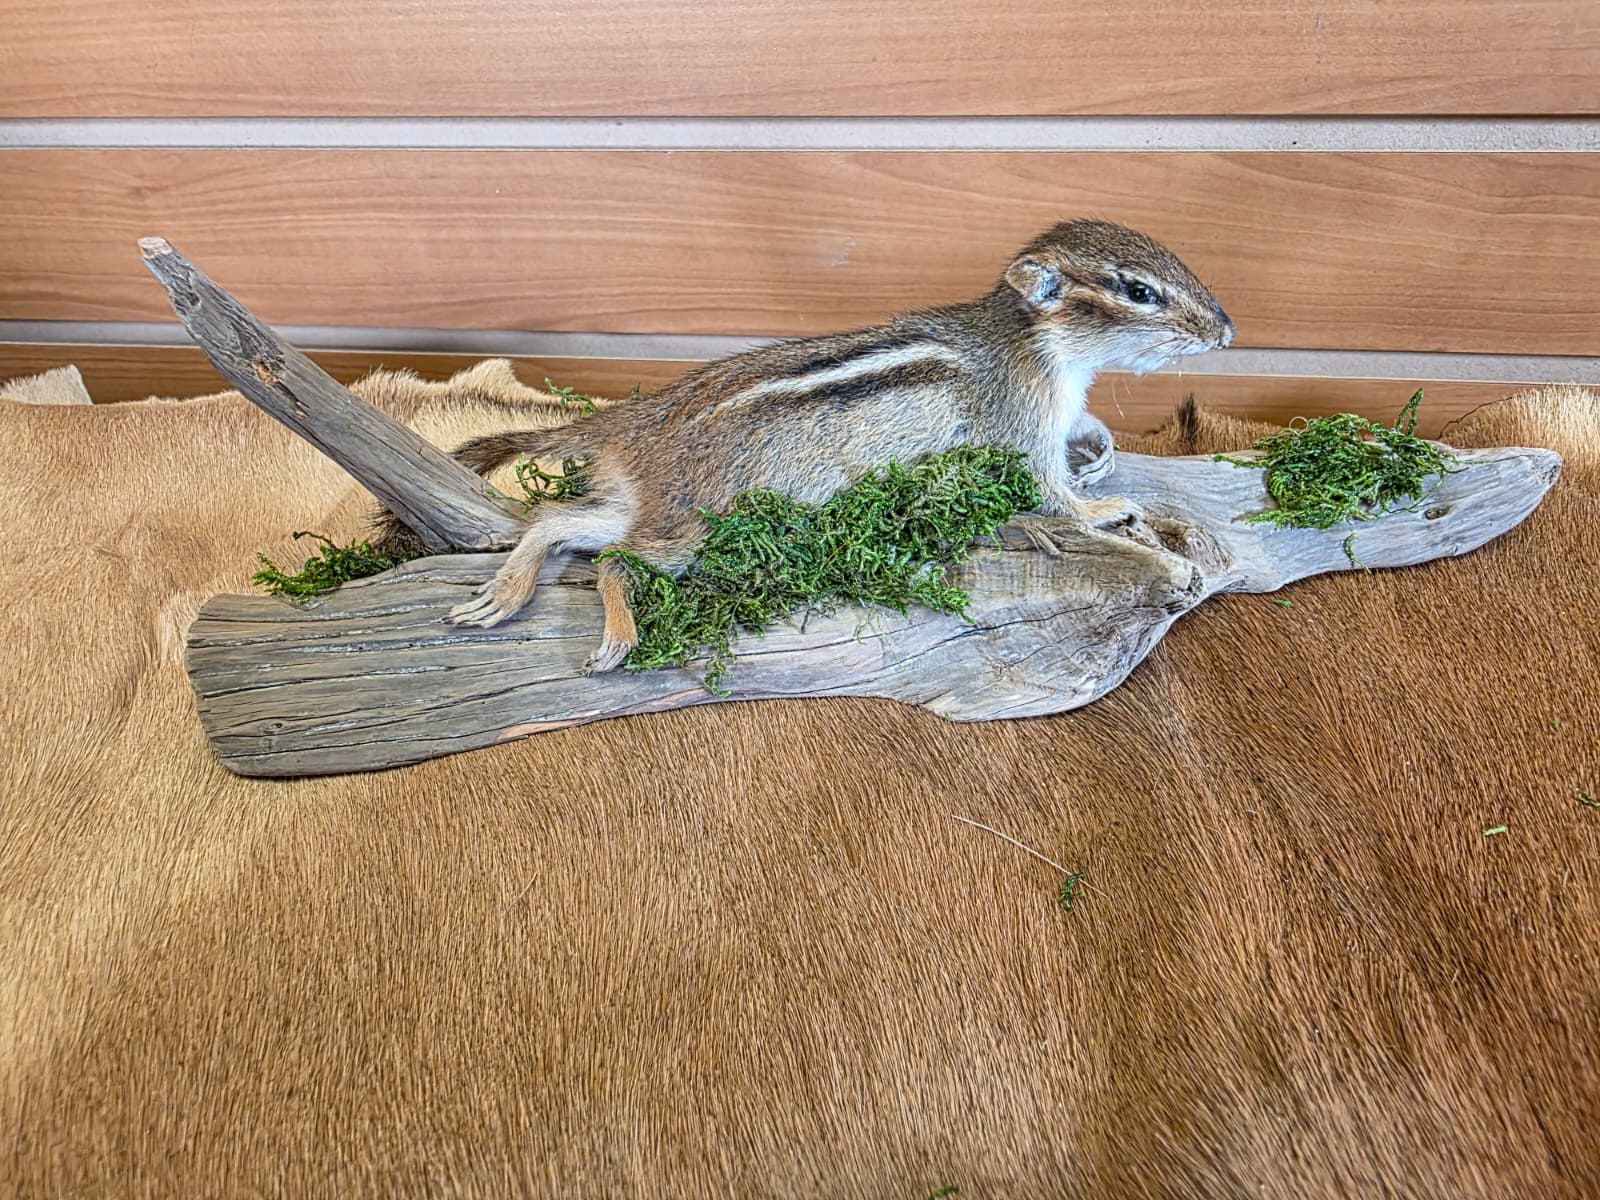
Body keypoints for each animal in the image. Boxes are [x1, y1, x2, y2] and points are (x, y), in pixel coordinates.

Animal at [368, 218, 1234, 674]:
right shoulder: (1017, 428)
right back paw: (615, 634)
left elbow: (1084, 437)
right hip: (694, 531)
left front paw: (1103, 448)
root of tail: (634, 426)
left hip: (645, 507)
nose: (1227, 330)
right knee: (611, 559)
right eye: (1138, 290)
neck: (1039, 346)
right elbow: (1050, 492)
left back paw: (504, 593)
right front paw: (1105, 507)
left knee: (557, 526)